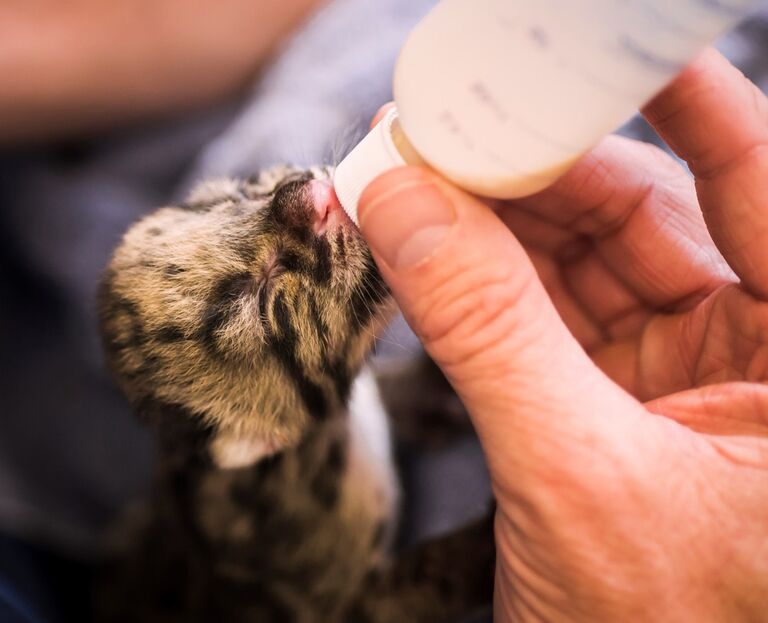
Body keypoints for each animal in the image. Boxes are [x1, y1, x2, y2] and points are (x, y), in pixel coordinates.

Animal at [97, 166, 492, 623]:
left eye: (241, 194)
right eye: (262, 294)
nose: (304, 195)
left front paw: (431, 391)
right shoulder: (347, 606)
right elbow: (426, 579)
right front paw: (489, 543)